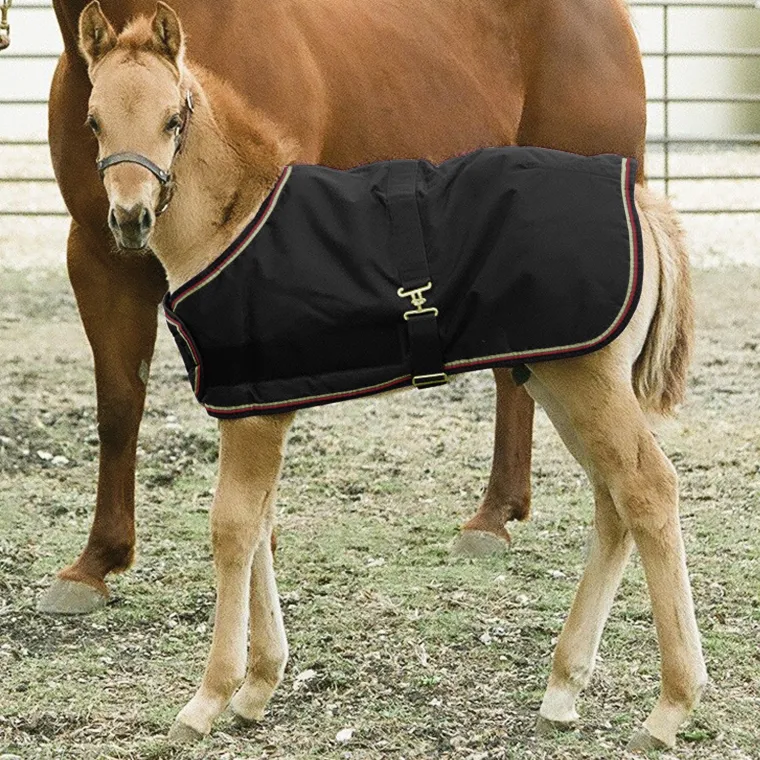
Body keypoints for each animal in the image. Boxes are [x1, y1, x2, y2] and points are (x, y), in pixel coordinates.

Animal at [78, 3, 706, 751]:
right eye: (93, 120)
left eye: (174, 119)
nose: (131, 218)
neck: (234, 219)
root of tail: (643, 203)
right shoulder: (257, 406)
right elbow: (261, 525)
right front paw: (258, 687)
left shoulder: (254, 414)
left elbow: (233, 528)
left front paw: (208, 698)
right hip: (559, 378)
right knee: (613, 499)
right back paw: (563, 688)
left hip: (589, 381)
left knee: (648, 489)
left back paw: (669, 708)